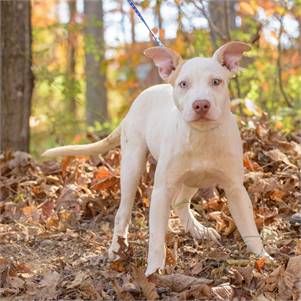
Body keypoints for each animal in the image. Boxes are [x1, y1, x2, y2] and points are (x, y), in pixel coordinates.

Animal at [42, 41, 270, 274]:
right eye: (183, 84)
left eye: (216, 82)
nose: (201, 104)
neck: (201, 135)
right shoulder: (162, 191)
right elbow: (156, 239)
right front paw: (153, 272)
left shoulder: (236, 189)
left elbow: (249, 228)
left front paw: (263, 257)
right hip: (132, 166)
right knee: (123, 213)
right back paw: (116, 250)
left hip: (193, 178)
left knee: (179, 202)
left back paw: (198, 230)